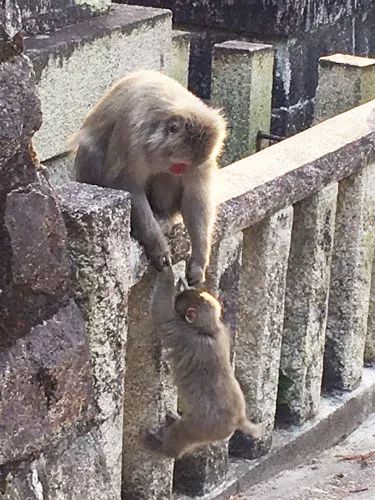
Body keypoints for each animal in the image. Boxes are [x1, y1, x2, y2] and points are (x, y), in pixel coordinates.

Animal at [69, 69, 228, 286]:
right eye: (180, 163)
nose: (179, 170)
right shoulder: (131, 133)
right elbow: (126, 184)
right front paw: (157, 246)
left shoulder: (203, 159)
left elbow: (196, 198)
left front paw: (199, 262)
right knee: (91, 150)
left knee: (165, 176)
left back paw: (163, 215)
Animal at [147, 268, 264, 458]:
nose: (180, 293)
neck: (209, 330)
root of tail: (239, 420)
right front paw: (184, 282)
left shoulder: (182, 332)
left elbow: (161, 314)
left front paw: (167, 270)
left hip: (207, 426)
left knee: (183, 431)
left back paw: (164, 446)